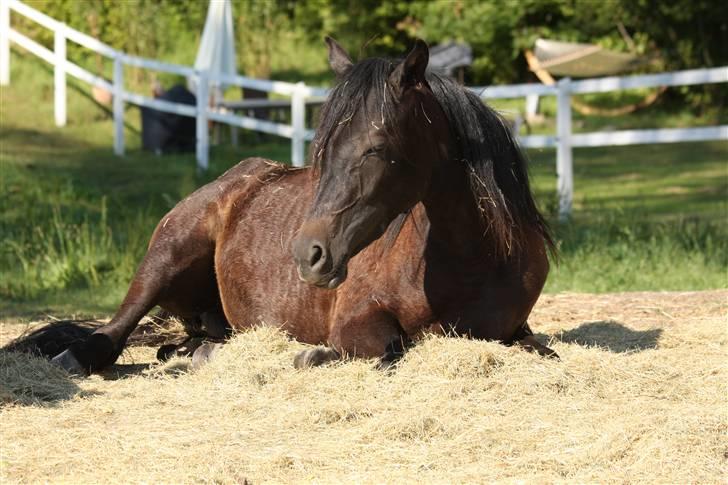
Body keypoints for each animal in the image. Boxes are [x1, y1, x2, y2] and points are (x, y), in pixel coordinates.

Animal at [35, 37, 556, 374]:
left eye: (375, 148)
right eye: (322, 148)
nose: (309, 254)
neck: (470, 262)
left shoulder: (516, 332)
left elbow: (542, 350)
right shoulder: (357, 319)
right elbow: (389, 350)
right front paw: (313, 355)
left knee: (190, 343)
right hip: (163, 260)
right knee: (111, 335)